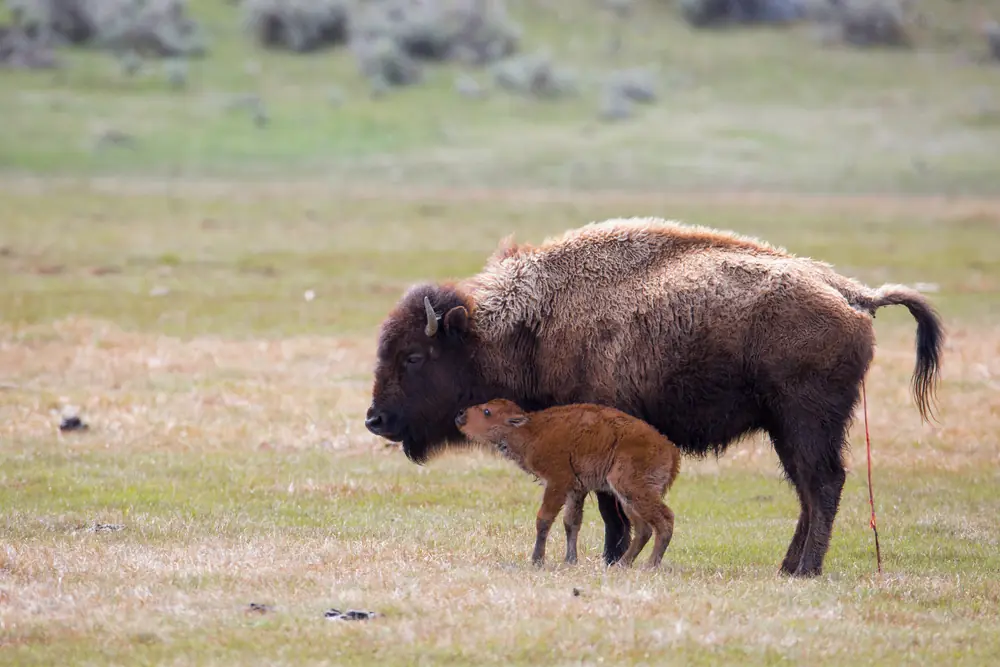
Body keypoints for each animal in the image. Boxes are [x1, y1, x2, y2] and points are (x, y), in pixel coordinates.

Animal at [364, 217, 943, 577]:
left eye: (414, 356)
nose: (375, 419)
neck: (525, 325)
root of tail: (852, 294)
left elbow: (609, 510)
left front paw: (609, 558)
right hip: (787, 428)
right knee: (807, 488)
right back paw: (786, 567)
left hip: (805, 420)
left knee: (823, 483)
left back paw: (806, 570)